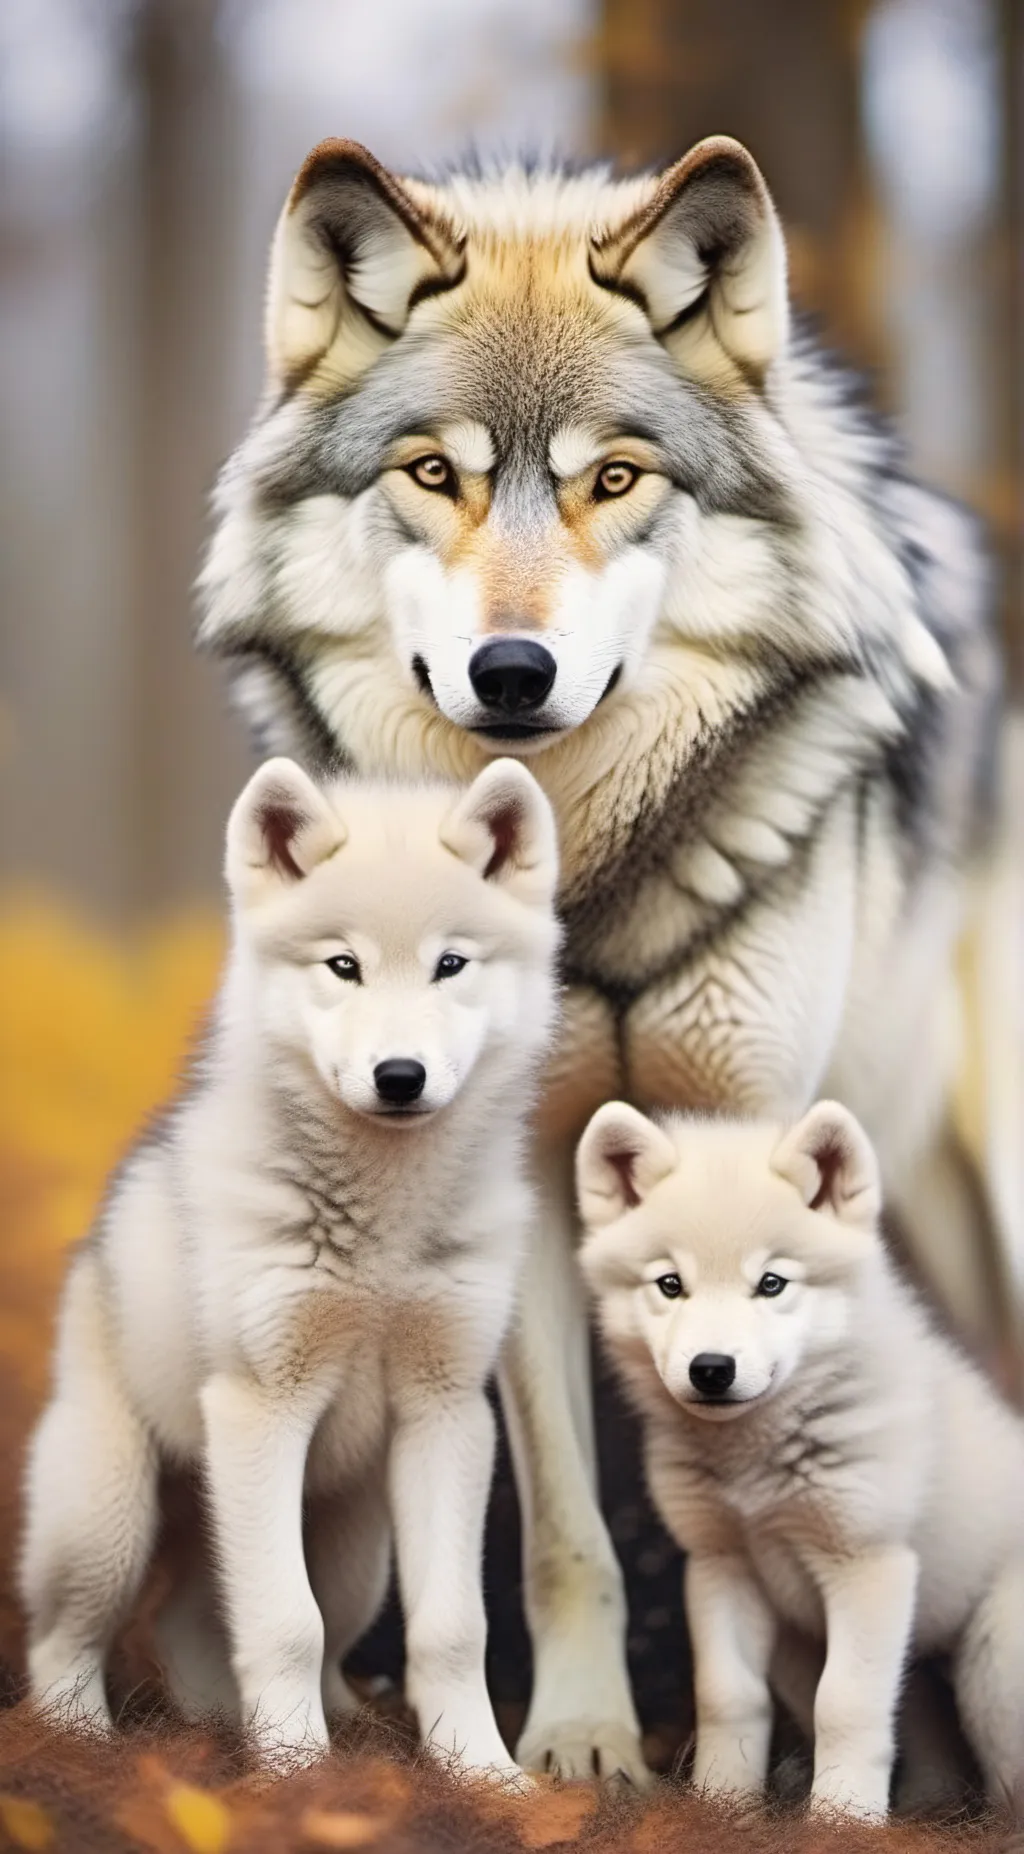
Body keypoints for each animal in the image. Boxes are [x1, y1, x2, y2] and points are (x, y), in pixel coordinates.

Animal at [21, 755, 560, 1780]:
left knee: (204, 1621)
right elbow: (282, 1625)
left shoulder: (447, 1415)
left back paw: (278, 1728)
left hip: (352, 1547)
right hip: (109, 1524)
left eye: (451, 964)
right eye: (343, 966)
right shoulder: (260, 1408)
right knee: (68, 1639)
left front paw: (482, 1774)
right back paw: (87, 1740)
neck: (383, 1232)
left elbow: (451, 1630)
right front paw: (296, 1776)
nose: (400, 1076)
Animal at [576, 1097, 1024, 1820]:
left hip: (995, 1672)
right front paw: (721, 1807)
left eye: (771, 1283)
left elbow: (845, 1705)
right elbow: (729, 1698)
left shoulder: (868, 1567)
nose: (711, 1369)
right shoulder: (723, 1568)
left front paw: (844, 1821)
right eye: (670, 1285)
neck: (755, 1467)